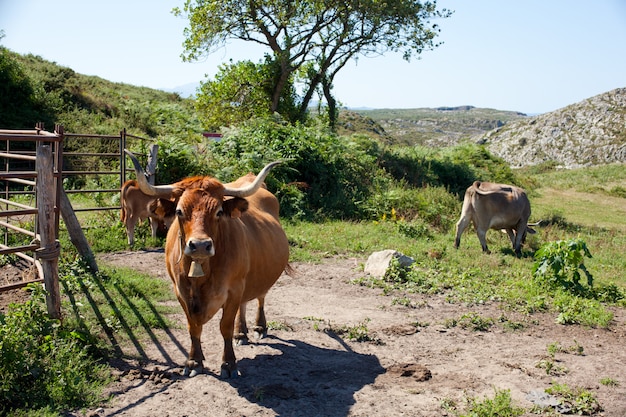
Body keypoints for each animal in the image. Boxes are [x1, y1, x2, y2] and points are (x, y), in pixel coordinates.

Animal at [124, 149, 290, 376]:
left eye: (219, 212)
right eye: (179, 211)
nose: (201, 245)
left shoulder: (233, 289)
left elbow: (225, 326)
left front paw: (228, 363)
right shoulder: (181, 291)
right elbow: (193, 327)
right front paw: (194, 361)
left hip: (258, 277)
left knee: (260, 298)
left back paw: (258, 327)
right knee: (244, 304)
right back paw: (241, 333)